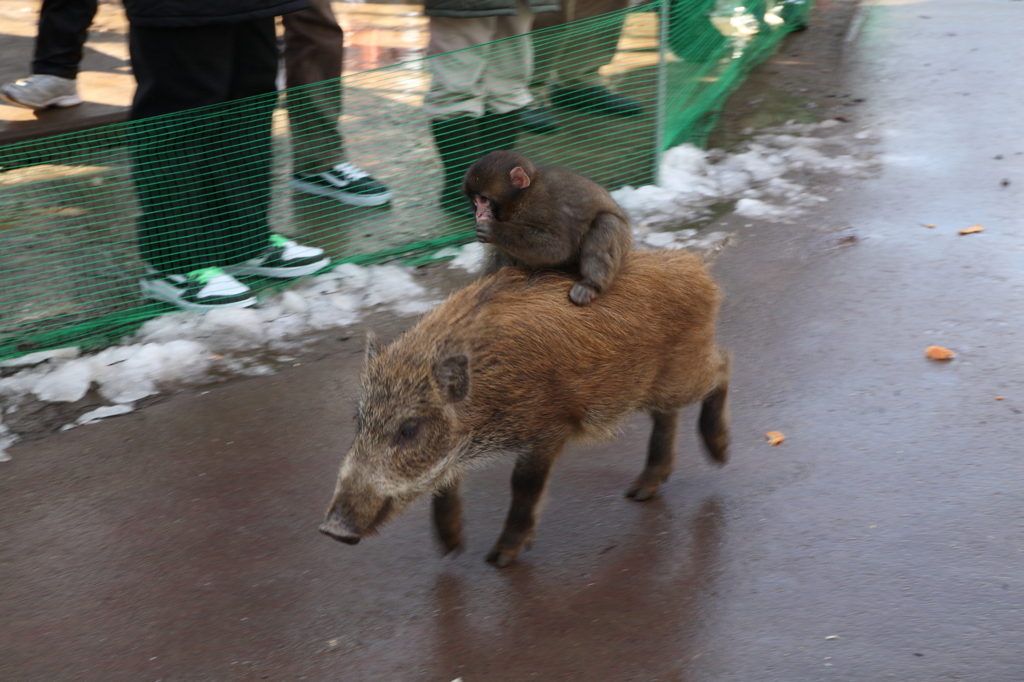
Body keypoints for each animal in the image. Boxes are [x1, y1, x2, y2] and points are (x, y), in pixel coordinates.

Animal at [462, 151, 630, 307]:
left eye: (484, 200)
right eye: (475, 201)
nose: (478, 214)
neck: (521, 199)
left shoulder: (539, 204)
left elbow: (558, 248)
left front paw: (495, 230)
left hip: (623, 238)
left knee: (606, 221)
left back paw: (590, 285)